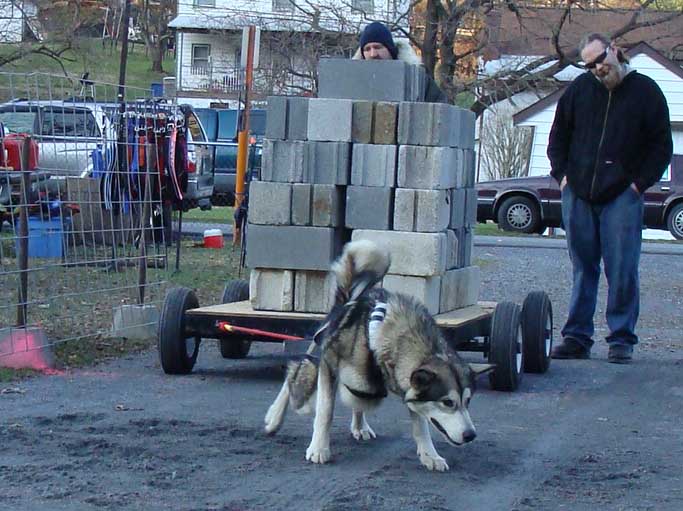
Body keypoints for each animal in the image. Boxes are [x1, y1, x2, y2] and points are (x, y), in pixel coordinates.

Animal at [264, 240, 494, 472]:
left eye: (468, 401)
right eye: (447, 402)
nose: (471, 435)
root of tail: (352, 295)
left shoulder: (407, 386)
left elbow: (420, 425)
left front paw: (430, 454)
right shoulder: (329, 362)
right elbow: (325, 411)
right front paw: (319, 448)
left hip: (362, 386)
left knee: (357, 397)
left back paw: (360, 425)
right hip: (319, 354)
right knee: (296, 373)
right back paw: (275, 416)